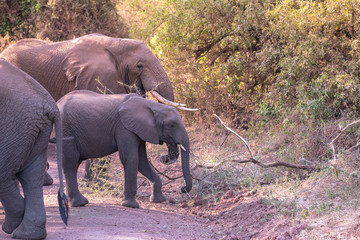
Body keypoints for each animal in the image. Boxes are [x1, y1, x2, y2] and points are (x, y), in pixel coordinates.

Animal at [0, 58, 68, 240]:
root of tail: (50, 105)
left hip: (16, 126)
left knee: (4, 174)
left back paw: (14, 228)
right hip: (31, 128)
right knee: (31, 178)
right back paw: (27, 233)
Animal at [55, 90, 193, 208]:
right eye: (172, 125)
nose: (182, 189)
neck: (151, 105)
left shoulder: (138, 129)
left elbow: (142, 162)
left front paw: (158, 200)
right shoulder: (124, 127)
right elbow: (130, 158)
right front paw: (130, 205)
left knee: (74, 163)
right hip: (65, 130)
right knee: (71, 162)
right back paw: (80, 203)